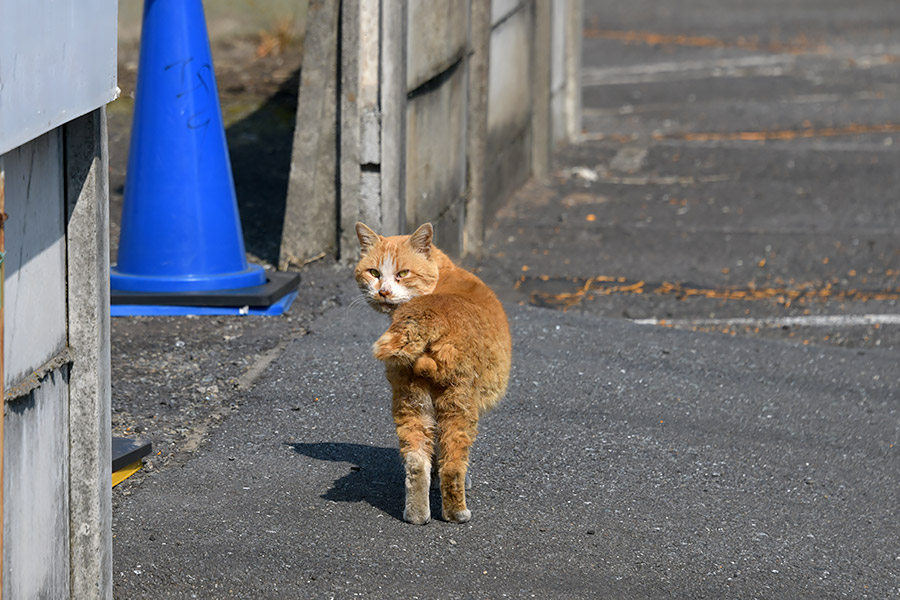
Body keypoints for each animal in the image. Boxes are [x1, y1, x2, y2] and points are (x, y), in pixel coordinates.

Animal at [358, 223, 512, 524]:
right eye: (374, 272)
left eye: (403, 273)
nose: (383, 292)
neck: (443, 276)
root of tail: (429, 314)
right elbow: (446, 457)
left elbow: (432, 453)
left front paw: (434, 478)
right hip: (459, 403)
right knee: (454, 463)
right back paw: (457, 513)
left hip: (409, 400)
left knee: (415, 463)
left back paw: (416, 515)